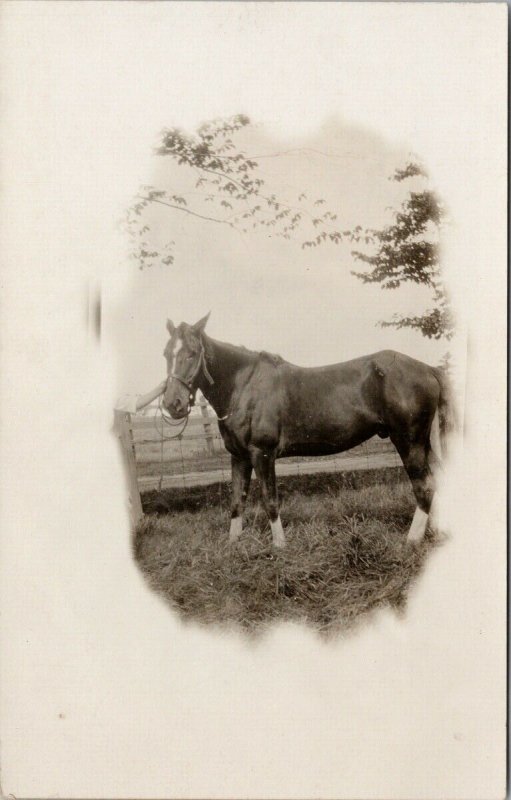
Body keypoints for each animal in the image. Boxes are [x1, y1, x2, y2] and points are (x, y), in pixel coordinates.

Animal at [162, 316, 454, 548]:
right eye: (166, 353)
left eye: (192, 352)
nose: (172, 404)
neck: (245, 386)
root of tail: (428, 369)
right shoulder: (239, 457)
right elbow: (236, 502)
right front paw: (233, 545)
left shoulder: (263, 453)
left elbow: (270, 500)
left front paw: (280, 547)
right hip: (424, 442)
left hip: (409, 442)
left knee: (423, 487)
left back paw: (411, 541)